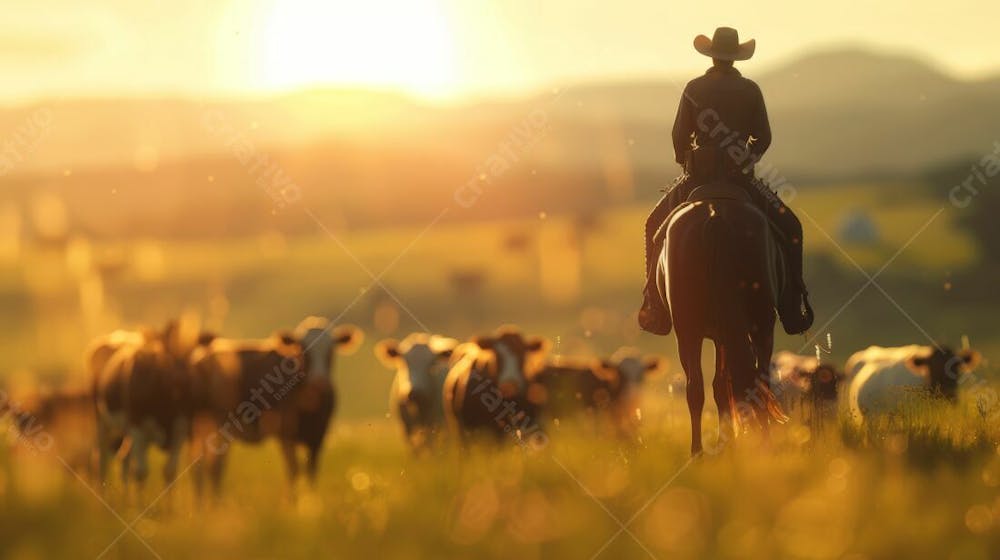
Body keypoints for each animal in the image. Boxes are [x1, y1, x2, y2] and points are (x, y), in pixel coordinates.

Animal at [188, 318, 364, 496]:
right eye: (303, 350)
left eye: (331, 351)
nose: (319, 382)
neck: (309, 406)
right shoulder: (286, 434)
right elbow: (293, 471)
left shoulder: (317, 436)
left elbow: (311, 472)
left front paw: (311, 500)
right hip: (213, 425)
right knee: (211, 469)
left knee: (202, 468)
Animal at [656, 184, 788, 456]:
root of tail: (715, 214)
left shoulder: (719, 336)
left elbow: (719, 386)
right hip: (761, 326)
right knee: (753, 381)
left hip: (689, 331)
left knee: (696, 388)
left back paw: (698, 451)